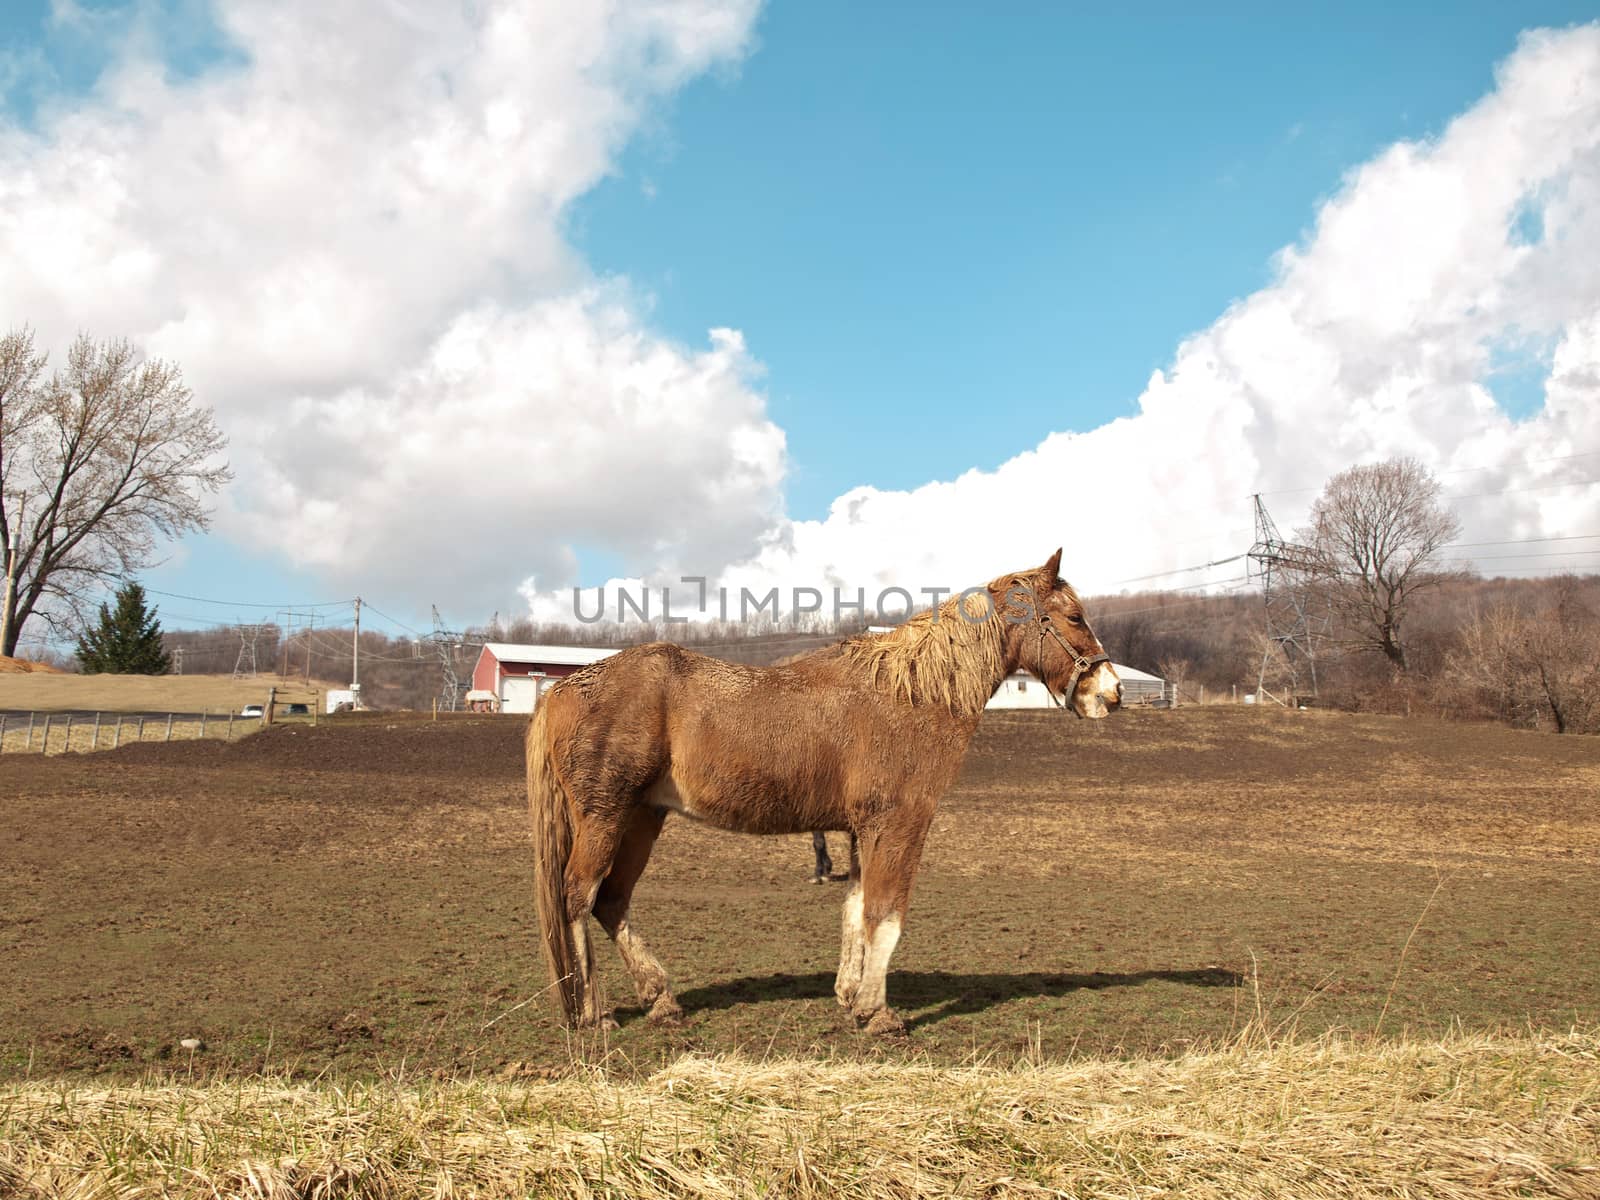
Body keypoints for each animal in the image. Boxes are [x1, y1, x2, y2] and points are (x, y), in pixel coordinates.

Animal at [531, 553, 1120, 1036]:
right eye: (1073, 617)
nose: (1111, 691)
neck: (911, 693)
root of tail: (561, 688)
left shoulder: (862, 829)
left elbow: (856, 908)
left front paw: (850, 995)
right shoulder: (900, 823)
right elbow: (886, 914)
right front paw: (877, 1012)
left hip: (641, 819)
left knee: (611, 901)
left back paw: (660, 1000)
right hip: (605, 816)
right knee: (577, 895)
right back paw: (594, 1013)